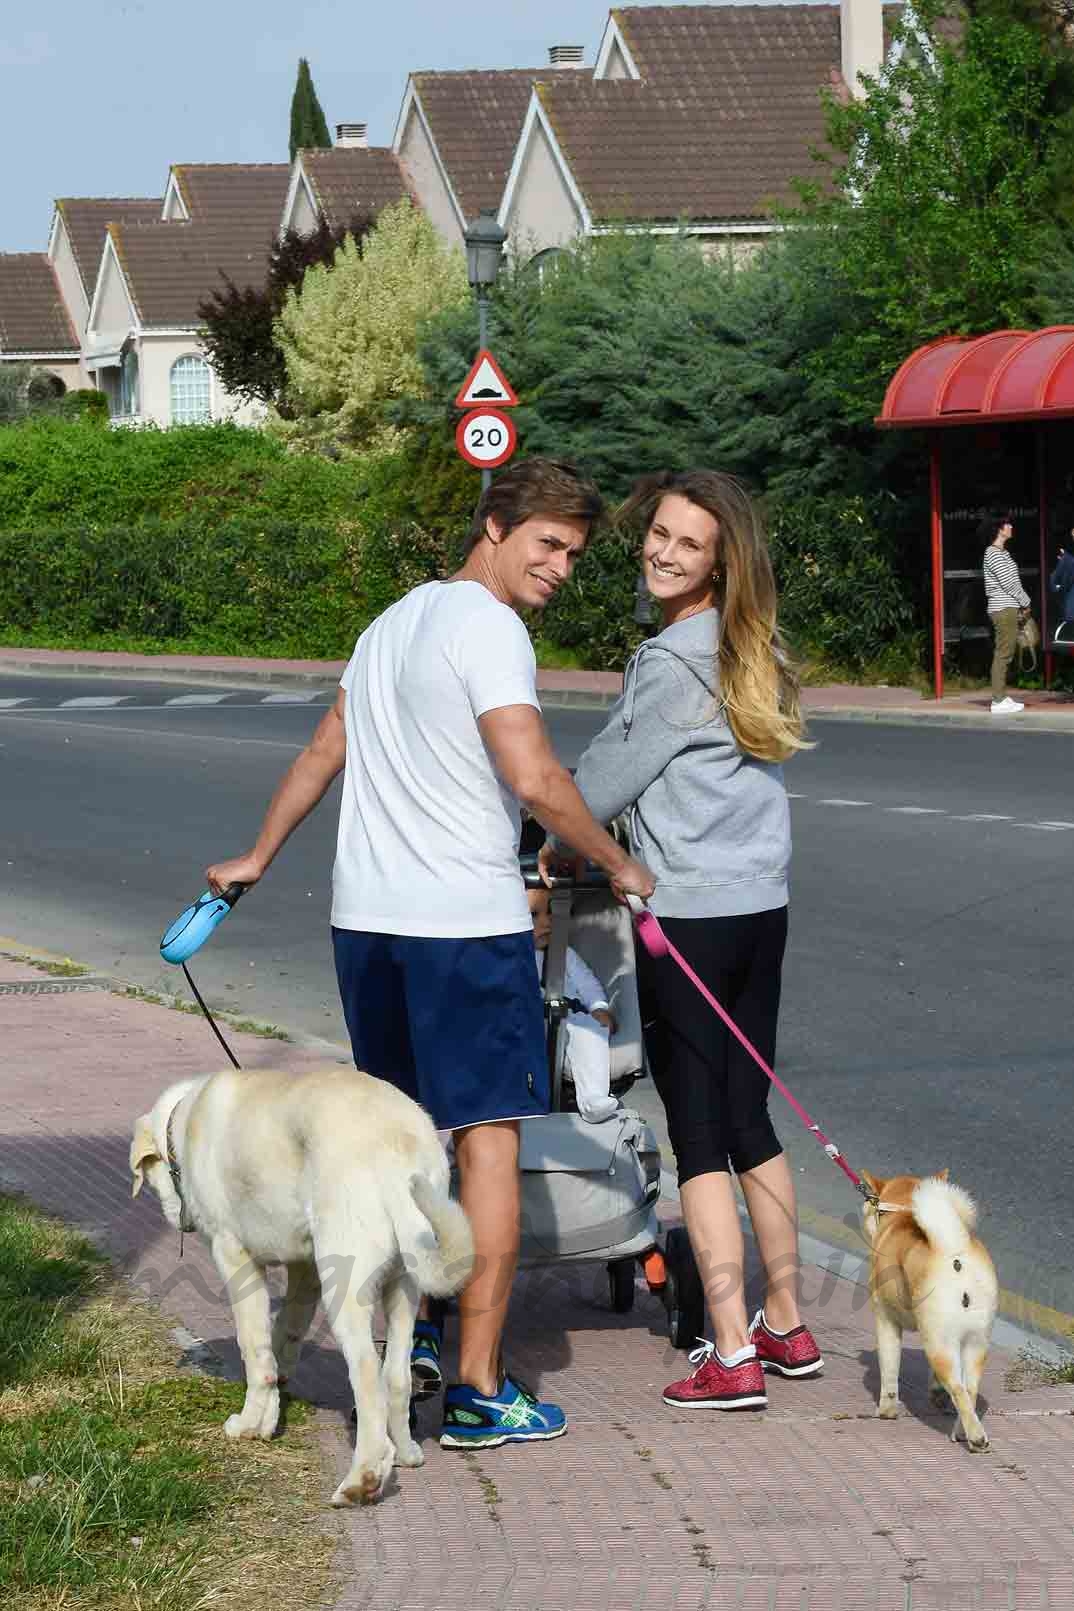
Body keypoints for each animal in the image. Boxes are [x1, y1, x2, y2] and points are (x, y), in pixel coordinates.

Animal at [130, 1069, 473, 1507]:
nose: (178, 1221)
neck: (185, 1122)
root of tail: (398, 1147)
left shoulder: (235, 1258)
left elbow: (255, 1353)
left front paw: (249, 1424)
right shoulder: (304, 1270)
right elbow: (281, 1339)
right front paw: (271, 1415)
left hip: (345, 1288)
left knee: (368, 1377)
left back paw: (363, 1478)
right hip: (404, 1287)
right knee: (396, 1375)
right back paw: (407, 1452)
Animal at [856, 1172, 998, 1449]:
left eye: (871, 1201)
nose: (866, 1204)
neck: (903, 1211)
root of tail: (954, 1252)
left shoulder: (886, 1321)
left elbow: (889, 1371)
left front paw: (886, 1412)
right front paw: (935, 1392)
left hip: (938, 1343)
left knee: (959, 1389)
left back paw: (975, 1438)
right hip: (974, 1342)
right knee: (969, 1390)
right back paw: (963, 1432)